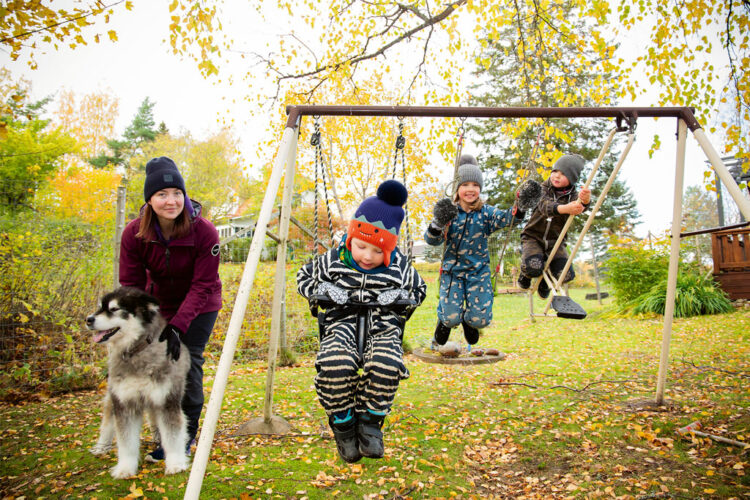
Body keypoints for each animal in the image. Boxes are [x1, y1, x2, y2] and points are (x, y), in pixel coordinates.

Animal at [87, 288, 191, 478]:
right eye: (100, 308)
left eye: (114, 309)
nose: (88, 319)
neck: (136, 350)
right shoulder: (124, 404)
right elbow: (126, 441)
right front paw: (125, 468)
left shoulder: (166, 401)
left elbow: (173, 436)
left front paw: (175, 463)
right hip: (113, 398)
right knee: (108, 422)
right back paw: (101, 447)